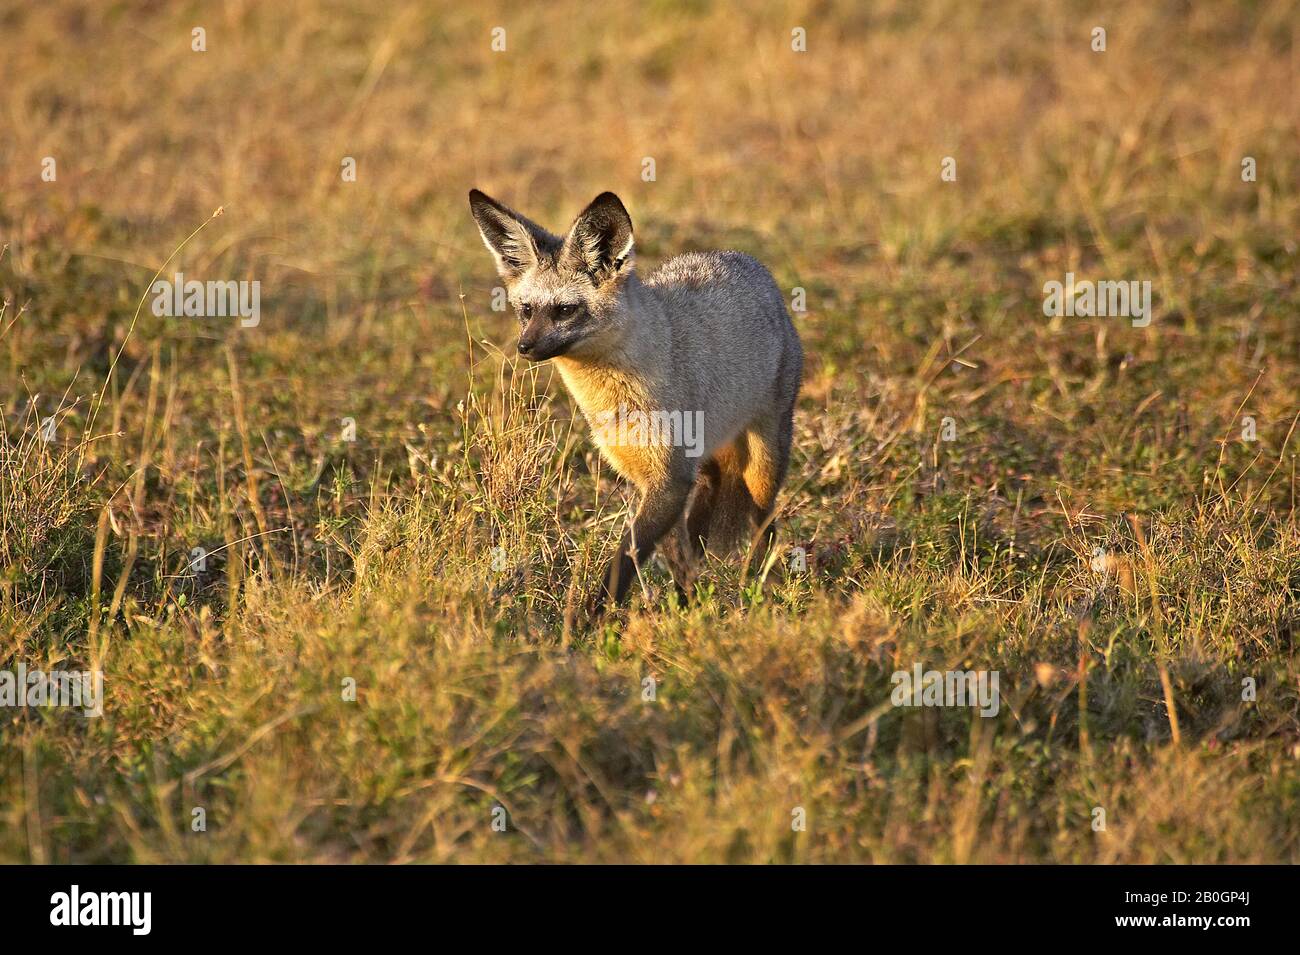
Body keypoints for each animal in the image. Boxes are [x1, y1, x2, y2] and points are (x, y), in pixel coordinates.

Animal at [469, 189, 802, 618]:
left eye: (564, 310)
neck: (616, 401)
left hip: (763, 465)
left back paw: (762, 583)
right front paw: (685, 607)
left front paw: (591, 618)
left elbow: (624, 558)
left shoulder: (669, 478)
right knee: (708, 502)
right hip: (708, 458)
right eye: (526, 310)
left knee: (765, 520)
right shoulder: (650, 477)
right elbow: (675, 555)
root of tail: (747, 261)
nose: (524, 347)